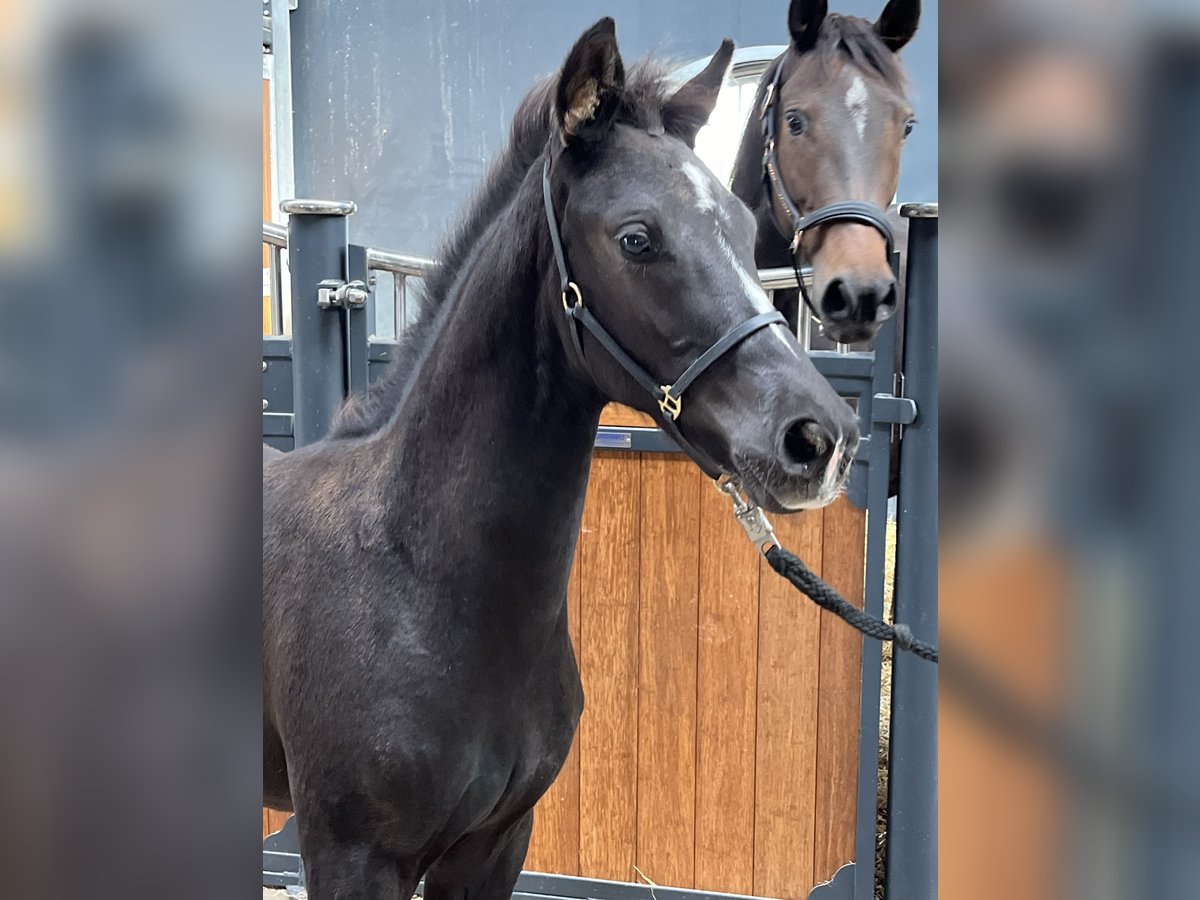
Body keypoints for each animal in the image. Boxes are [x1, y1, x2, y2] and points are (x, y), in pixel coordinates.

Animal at [267, 19, 859, 900]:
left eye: (739, 228)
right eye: (636, 238)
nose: (819, 438)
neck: (417, 581)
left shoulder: (496, 844)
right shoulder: (350, 857)